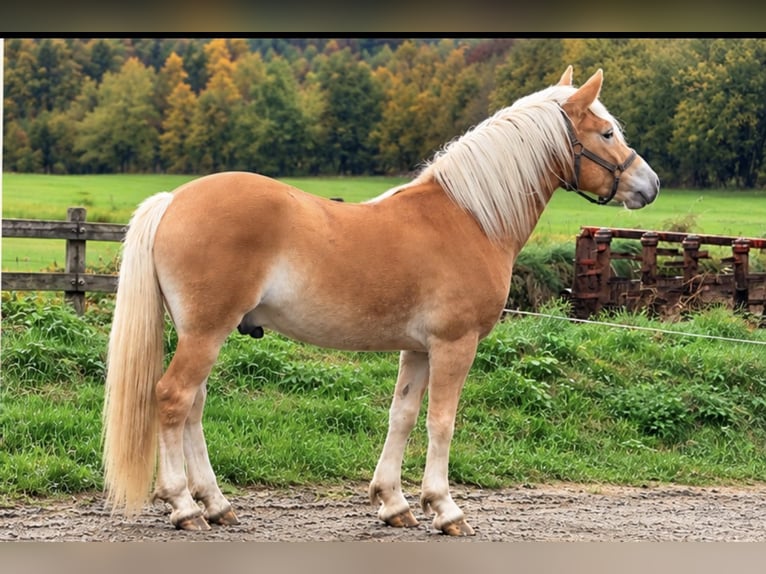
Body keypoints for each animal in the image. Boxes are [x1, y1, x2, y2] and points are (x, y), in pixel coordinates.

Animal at [103, 66, 660, 536]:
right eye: (606, 133)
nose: (650, 185)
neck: (469, 217)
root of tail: (173, 199)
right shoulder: (454, 345)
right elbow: (442, 421)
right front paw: (446, 509)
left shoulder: (417, 349)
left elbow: (403, 416)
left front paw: (394, 503)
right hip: (205, 333)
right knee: (174, 399)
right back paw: (184, 506)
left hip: (201, 333)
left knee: (193, 406)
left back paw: (216, 504)